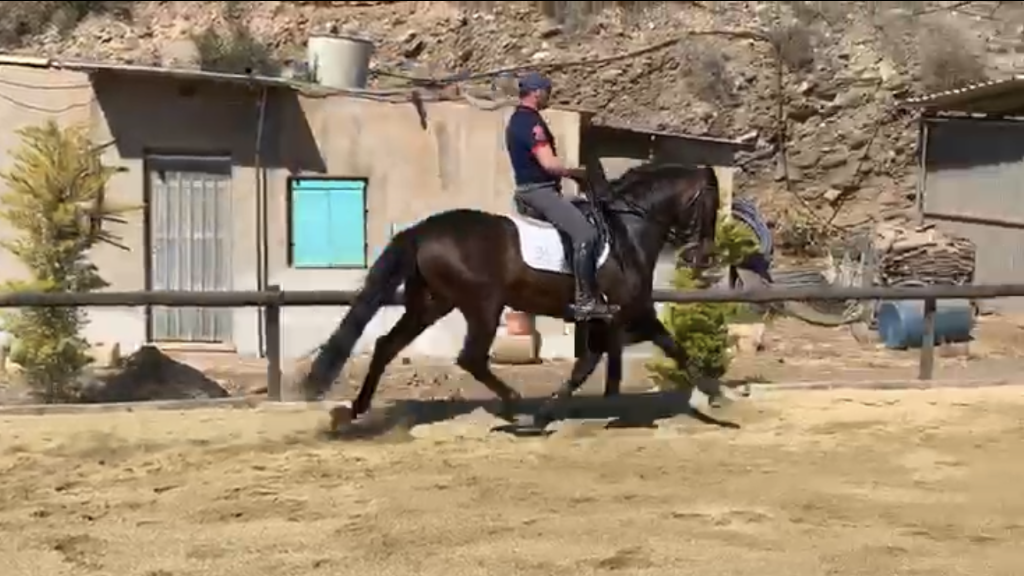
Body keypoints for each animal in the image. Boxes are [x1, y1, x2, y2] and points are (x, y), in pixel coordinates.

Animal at [300, 162, 722, 427]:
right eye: (712, 203)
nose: (701, 257)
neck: (627, 229)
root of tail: (423, 230)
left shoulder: (606, 318)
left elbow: (590, 362)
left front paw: (552, 411)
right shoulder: (633, 310)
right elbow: (670, 346)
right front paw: (714, 394)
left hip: (431, 303)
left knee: (387, 345)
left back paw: (356, 409)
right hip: (483, 305)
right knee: (470, 358)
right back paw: (515, 405)